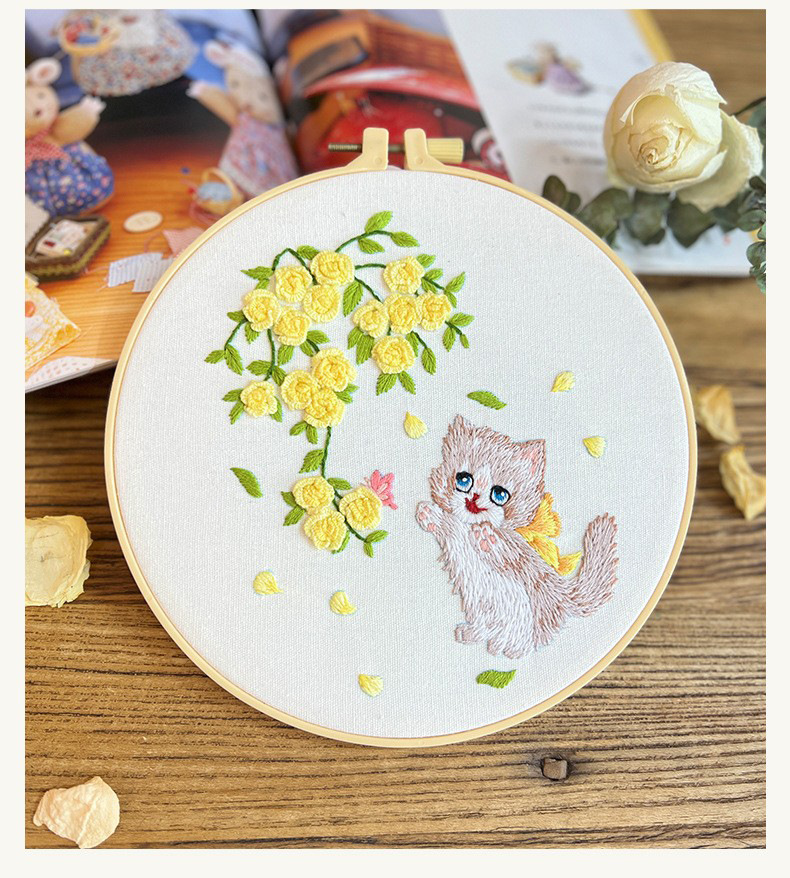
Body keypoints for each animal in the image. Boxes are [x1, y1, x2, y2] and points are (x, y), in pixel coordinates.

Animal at [416, 415, 618, 658]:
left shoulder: (516, 552)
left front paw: (486, 536)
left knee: (523, 639)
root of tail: (561, 596)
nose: (473, 500)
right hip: (479, 606)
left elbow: (506, 553)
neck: (468, 528)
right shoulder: (455, 532)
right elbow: (447, 523)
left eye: (499, 494)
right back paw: (473, 634)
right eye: (463, 480)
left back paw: (510, 649)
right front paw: (429, 513)